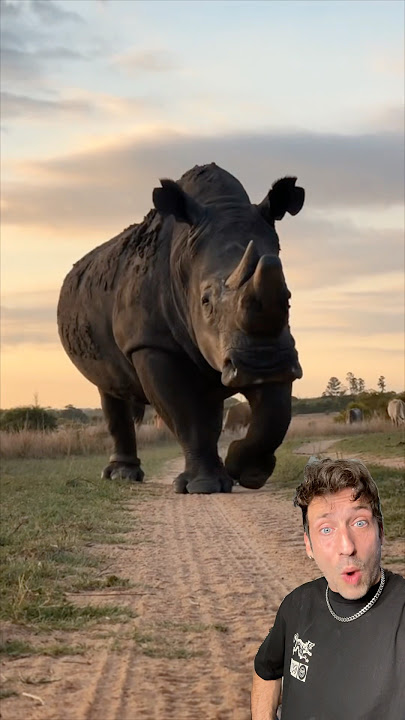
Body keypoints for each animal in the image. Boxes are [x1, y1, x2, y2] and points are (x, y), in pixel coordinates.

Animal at [57, 163, 304, 493]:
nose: (261, 365)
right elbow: (184, 414)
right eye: (205, 301)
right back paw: (122, 476)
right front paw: (205, 487)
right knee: (109, 388)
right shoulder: (150, 342)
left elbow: (274, 415)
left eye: (287, 297)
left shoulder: (274, 346)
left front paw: (248, 473)